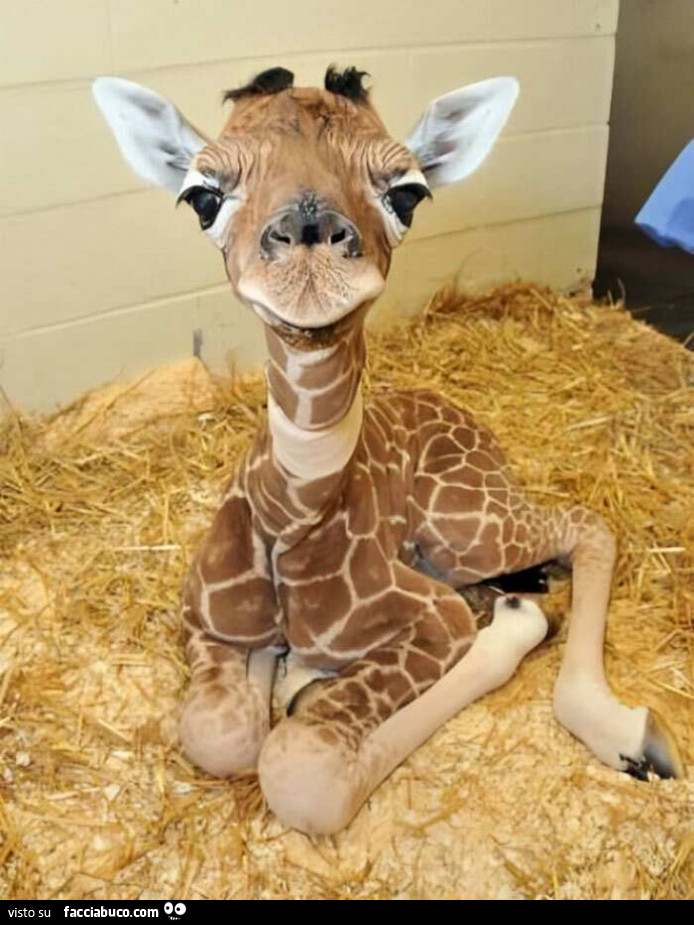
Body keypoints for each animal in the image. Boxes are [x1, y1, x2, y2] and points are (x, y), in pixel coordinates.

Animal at [93, 66, 684, 835]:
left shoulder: (434, 618)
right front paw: (282, 674)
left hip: (466, 528)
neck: (292, 519)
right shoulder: (201, 618)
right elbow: (223, 731)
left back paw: (624, 728)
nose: (309, 242)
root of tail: (467, 419)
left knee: (587, 524)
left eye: (406, 192)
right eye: (203, 196)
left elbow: (300, 768)